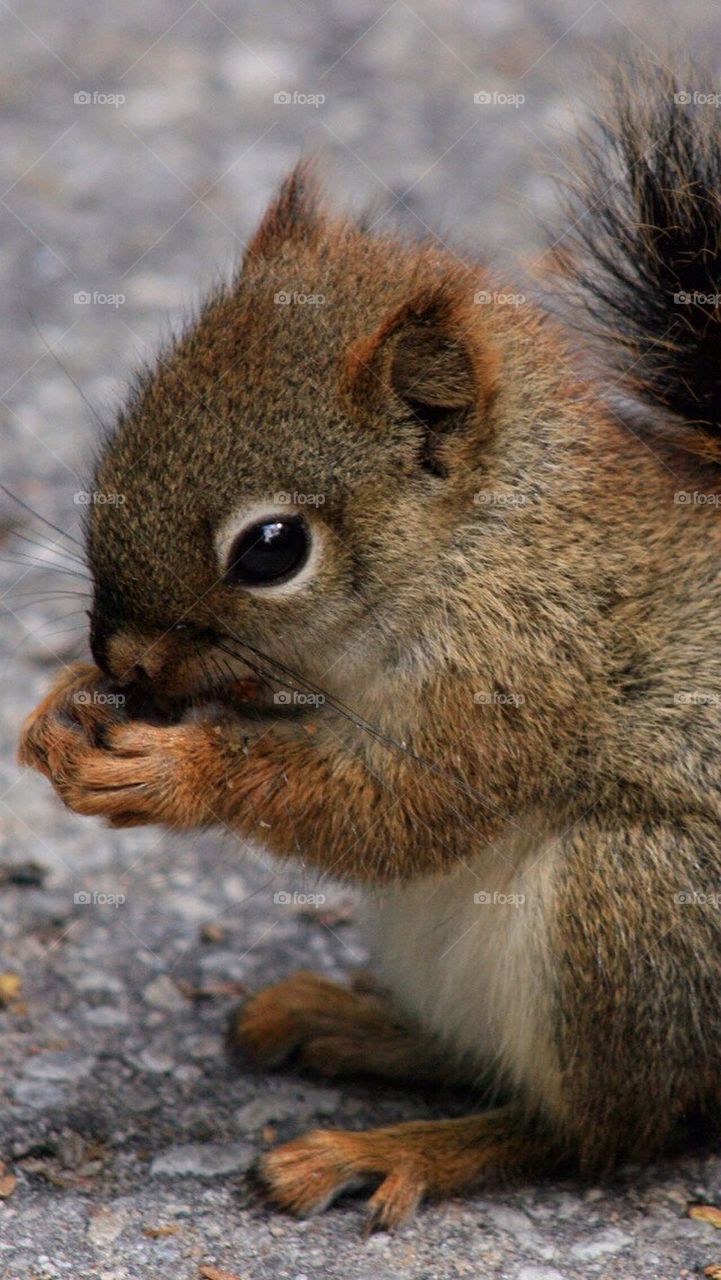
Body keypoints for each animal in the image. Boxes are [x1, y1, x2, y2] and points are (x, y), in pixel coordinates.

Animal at [16, 61, 721, 1229]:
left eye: (271, 548)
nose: (121, 661)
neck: (474, 543)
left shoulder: (523, 666)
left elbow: (405, 809)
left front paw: (177, 771)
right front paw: (57, 712)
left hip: (633, 912)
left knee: (591, 1133)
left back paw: (397, 1147)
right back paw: (351, 1023)